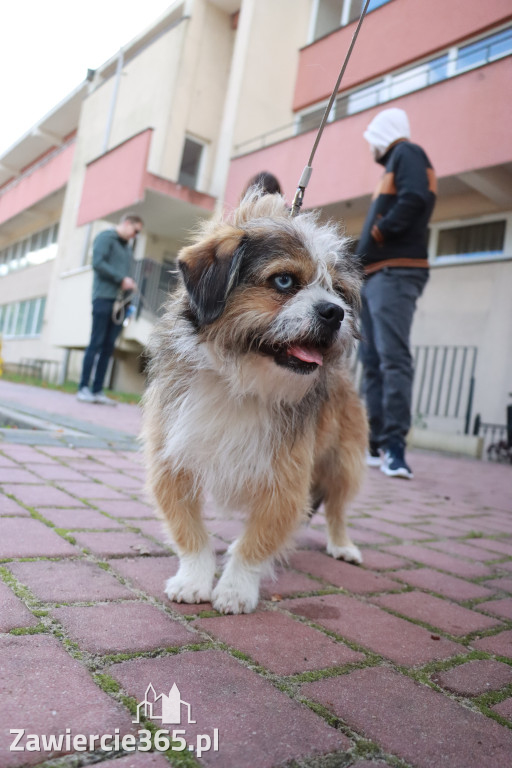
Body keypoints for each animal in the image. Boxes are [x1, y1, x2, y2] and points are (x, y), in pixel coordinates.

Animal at [143, 194, 368, 616]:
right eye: (284, 281)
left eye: (339, 291)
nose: (335, 312)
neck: (243, 382)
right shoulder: (171, 464)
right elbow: (190, 533)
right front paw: (193, 579)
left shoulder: (287, 481)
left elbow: (255, 545)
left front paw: (235, 589)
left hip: (343, 464)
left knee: (337, 510)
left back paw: (342, 544)